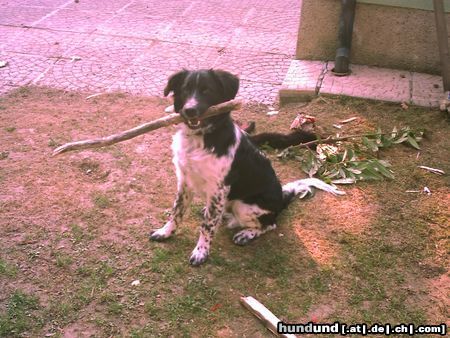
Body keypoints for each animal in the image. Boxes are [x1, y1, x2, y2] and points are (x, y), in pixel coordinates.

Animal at [149, 68, 342, 266]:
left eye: (207, 90)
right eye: (185, 90)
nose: (190, 110)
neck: (201, 138)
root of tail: (281, 199)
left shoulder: (219, 188)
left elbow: (207, 226)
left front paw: (201, 252)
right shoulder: (185, 181)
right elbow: (176, 212)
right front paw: (165, 232)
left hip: (243, 206)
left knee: (269, 224)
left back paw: (246, 234)